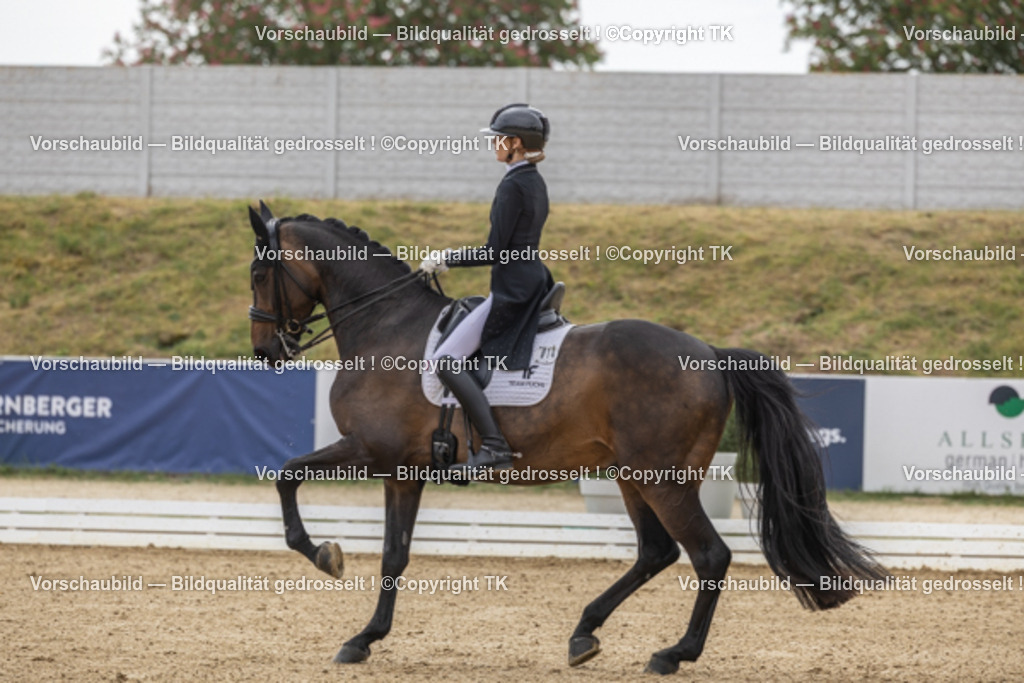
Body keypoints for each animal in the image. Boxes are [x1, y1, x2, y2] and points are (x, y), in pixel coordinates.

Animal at [246, 202, 887, 675]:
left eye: (257, 273)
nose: (265, 351)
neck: (388, 327)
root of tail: (708, 353)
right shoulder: (402, 470)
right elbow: (393, 554)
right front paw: (365, 638)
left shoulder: (369, 450)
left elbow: (286, 476)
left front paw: (323, 554)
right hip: (633, 475)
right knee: (657, 552)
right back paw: (584, 634)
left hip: (663, 479)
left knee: (709, 555)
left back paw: (673, 654)